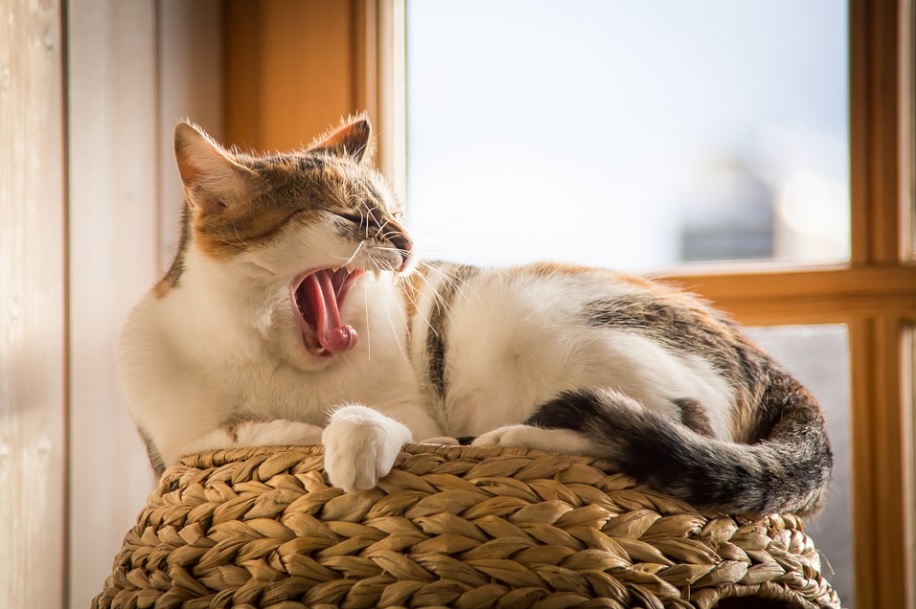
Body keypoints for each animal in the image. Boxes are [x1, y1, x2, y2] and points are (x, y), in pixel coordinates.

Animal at [118, 116, 832, 516]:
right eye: (350, 217)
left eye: (395, 213)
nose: (407, 243)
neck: (268, 355)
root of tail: (770, 366)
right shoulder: (175, 449)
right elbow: (236, 435)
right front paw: (286, 429)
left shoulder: (415, 413)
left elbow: (365, 420)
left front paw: (353, 445)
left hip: (525, 319)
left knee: (669, 428)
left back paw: (512, 437)